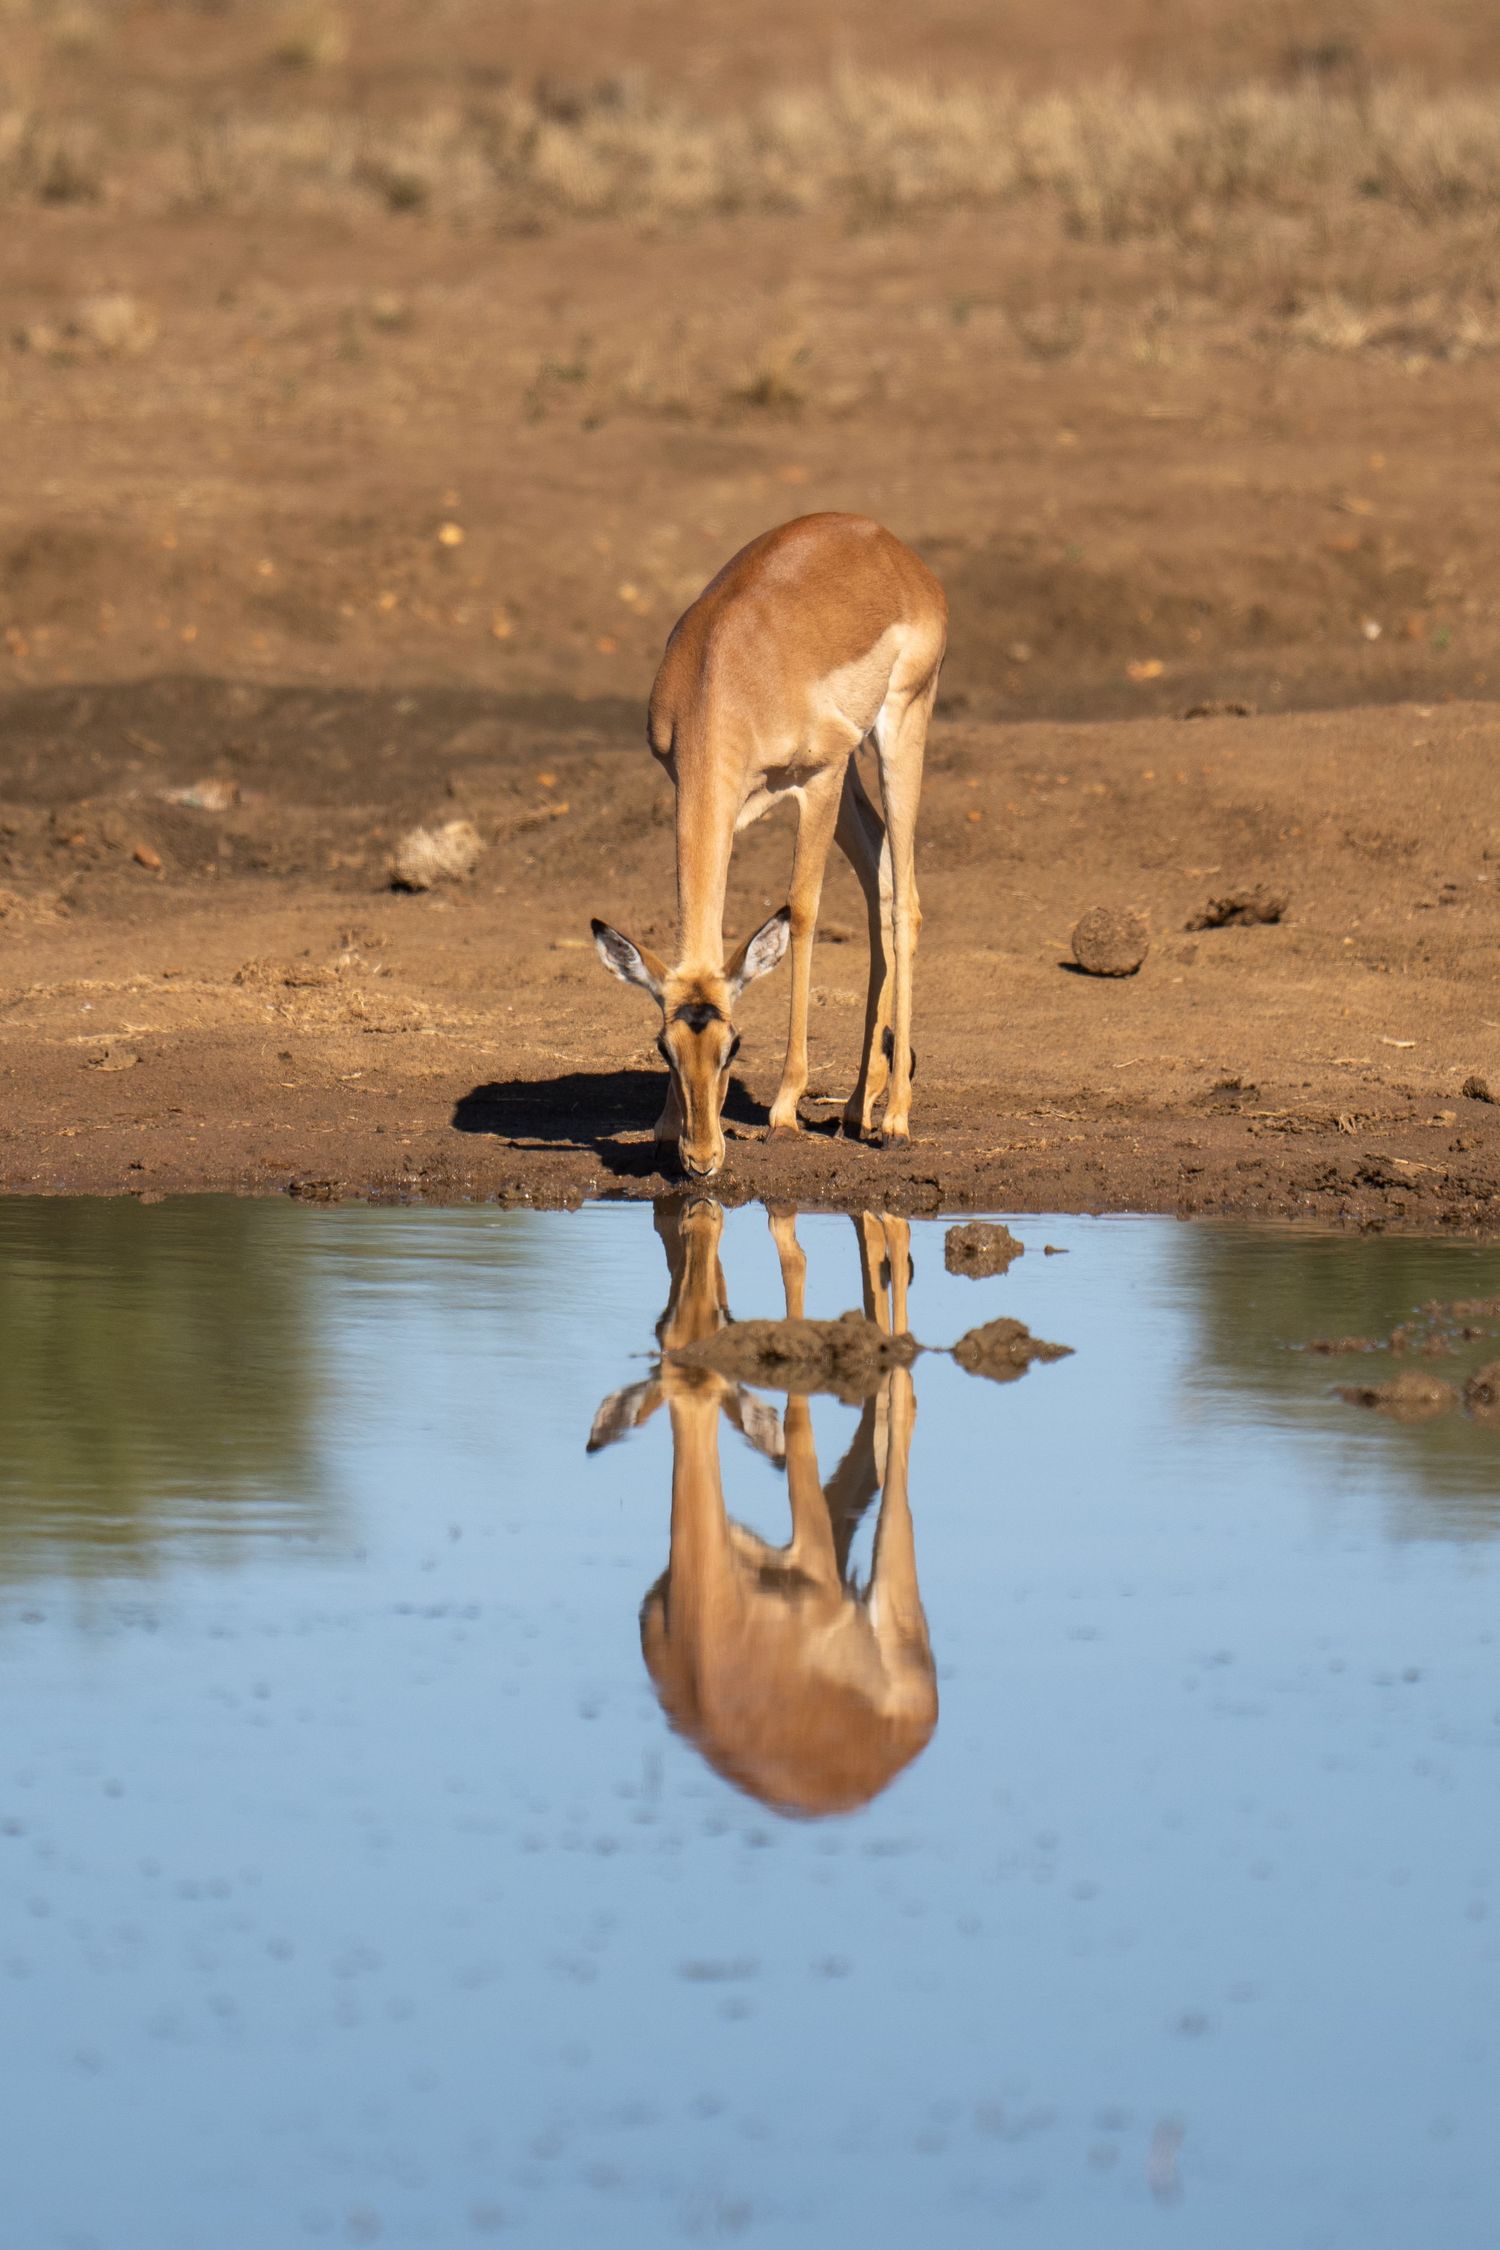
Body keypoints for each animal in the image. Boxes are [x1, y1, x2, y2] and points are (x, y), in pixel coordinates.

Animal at [588, 1199, 937, 1818]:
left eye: (719, 1325)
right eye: (664, 1331)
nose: (704, 1207)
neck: (708, 1631)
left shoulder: (814, 1564)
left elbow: (796, 1426)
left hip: (890, 1597)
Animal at [591, 513, 948, 1180]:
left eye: (735, 1046)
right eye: (664, 1049)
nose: (703, 1159)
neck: (727, 673)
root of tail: (892, 547)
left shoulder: (817, 780)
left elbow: (802, 915)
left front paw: (784, 1109)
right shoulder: (698, 792)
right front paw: (663, 1127)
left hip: (894, 733)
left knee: (903, 901)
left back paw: (894, 1121)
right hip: (852, 777)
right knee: (881, 877)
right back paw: (858, 1104)